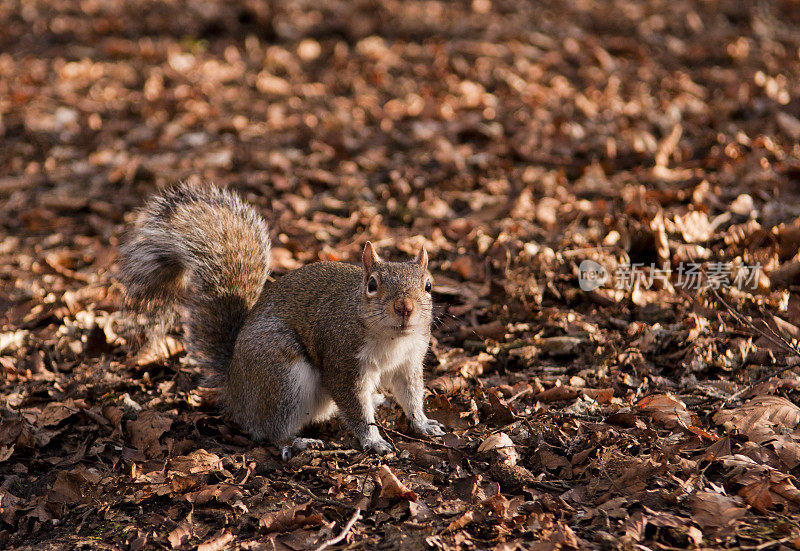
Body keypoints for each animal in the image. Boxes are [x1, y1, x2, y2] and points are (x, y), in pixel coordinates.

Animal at [117, 183, 444, 460]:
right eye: (372, 285)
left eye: (428, 285)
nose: (405, 307)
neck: (392, 339)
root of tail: (235, 389)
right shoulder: (343, 361)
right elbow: (354, 407)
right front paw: (373, 440)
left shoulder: (409, 361)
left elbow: (411, 395)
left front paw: (423, 423)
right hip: (282, 377)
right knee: (271, 430)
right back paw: (295, 442)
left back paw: (373, 400)